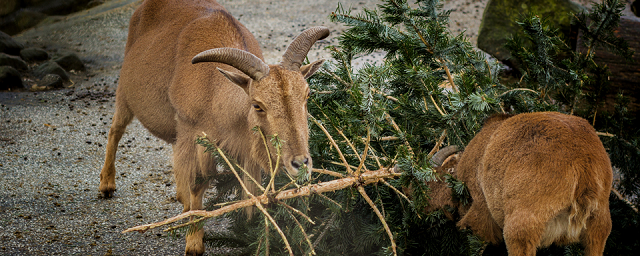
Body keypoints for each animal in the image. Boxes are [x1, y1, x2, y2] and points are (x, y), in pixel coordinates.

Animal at [99, 0, 330, 254]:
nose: (301, 163)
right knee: (115, 130)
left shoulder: (240, 148)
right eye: (257, 105)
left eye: (307, 95)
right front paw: (194, 242)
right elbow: (197, 184)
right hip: (125, 95)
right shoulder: (194, 135)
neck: (213, 93)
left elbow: (249, 187)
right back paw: (107, 185)